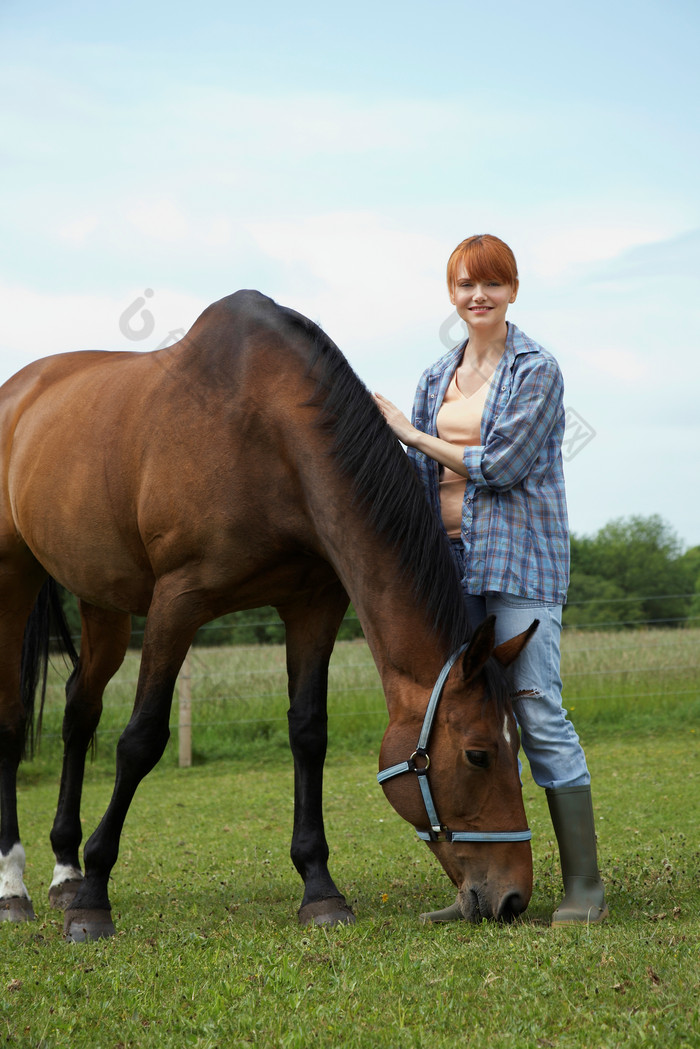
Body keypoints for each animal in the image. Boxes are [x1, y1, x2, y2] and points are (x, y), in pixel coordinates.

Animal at [0, 291, 537, 939]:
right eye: (478, 754)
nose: (513, 897)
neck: (264, 433)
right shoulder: (177, 603)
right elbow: (141, 741)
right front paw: (94, 899)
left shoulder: (313, 606)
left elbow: (308, 733)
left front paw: (320, 888)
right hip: (13, 577)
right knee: (10, 721)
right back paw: (16, 886)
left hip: (100, 598)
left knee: (79, 713)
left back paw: (63, 872)